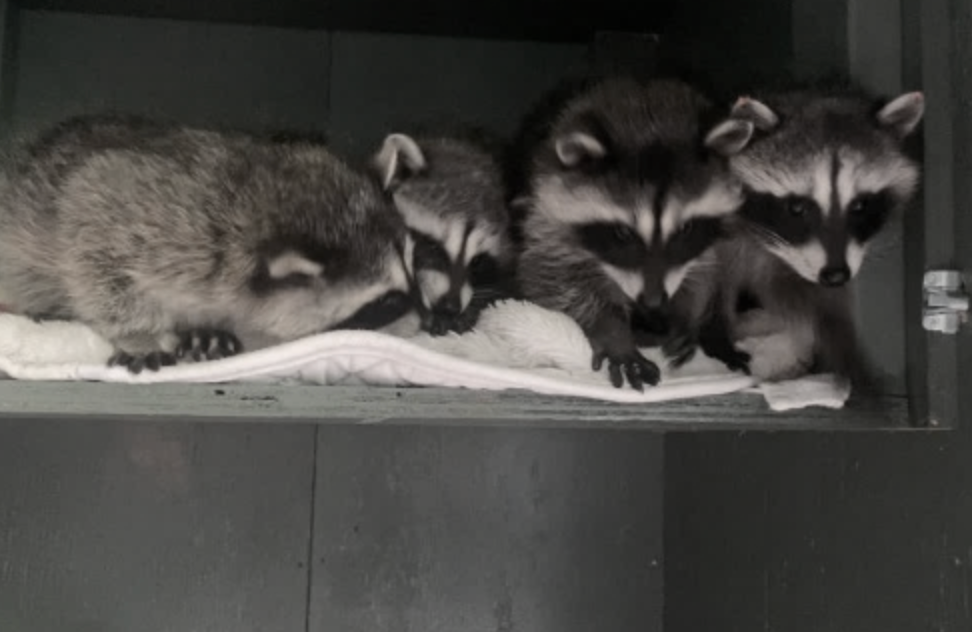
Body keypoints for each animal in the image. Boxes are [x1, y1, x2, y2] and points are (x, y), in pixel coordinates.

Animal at [0, 113, 415, 373]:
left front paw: (201, 330)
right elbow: (90, 253)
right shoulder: (149, 223)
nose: (424, 316)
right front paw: (141, 334)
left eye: (412, 266)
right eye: (385, 300)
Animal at [511, 76, 757, 390]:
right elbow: (554, 278)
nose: (652, 302)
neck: (647, 114)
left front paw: (687, 313)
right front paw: (612, 332)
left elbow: (709, 270)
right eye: (622, 233)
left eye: (685, 229)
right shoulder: (546, 214)